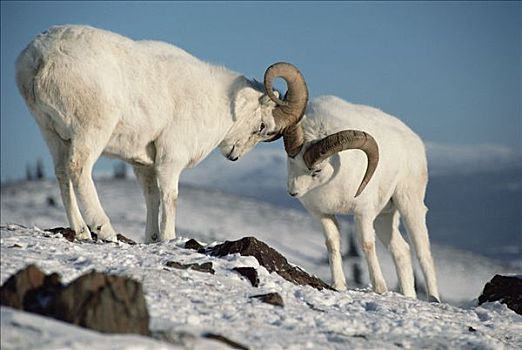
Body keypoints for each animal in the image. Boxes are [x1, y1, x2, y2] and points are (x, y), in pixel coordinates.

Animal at [16, 25, 306, 243]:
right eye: (262, 127)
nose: (234, 156)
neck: (215, 101)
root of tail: (40, 59)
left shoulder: (143, 165)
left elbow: (152, 198)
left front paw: (152, 239)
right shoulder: (170, 161)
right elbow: (170, 198)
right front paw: (168, 239)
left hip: (53, 134)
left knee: (62, 174)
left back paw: (82, 232)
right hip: (90, 131)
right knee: (78, 170)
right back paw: (104, 231)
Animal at [278, 95, 436, 300]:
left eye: (316, 171)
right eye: (291, 160)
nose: (293, 192)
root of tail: (415, 141)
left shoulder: (363, 213)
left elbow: (367, 245)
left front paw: (380, 289)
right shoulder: (323, 214)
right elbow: (332, 243)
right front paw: (338, 285)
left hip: (409, 205)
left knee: (423, 254)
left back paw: (434, 299)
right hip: (385, 218)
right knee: (401, 250)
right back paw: (409, 296)